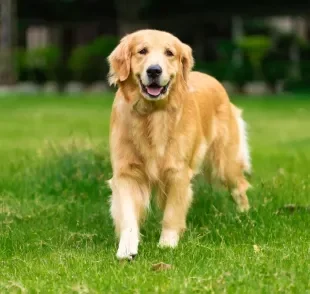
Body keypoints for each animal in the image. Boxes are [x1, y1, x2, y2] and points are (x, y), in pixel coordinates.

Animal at [107, 29, 252, 260]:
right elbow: (128, 215)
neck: (153, 114)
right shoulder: (126, 173)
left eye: (169, 53)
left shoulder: (178, 172)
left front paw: (167, 244)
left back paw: (244, 216)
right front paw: (127, 248)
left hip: (224, 163)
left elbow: (172, 213)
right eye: (142, 51)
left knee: (239, 186)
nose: (154, 70)